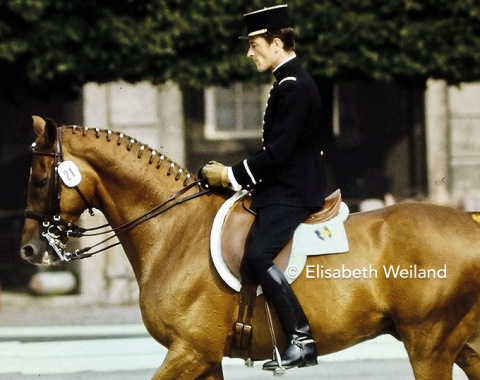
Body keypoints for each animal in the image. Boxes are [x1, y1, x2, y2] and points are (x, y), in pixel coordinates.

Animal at [20, 116, 480, 380]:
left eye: (41, 179)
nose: (28, 250)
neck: (174, 231)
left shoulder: (188, 352)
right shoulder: (203, 358)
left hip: (429, 346)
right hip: (456, 344)